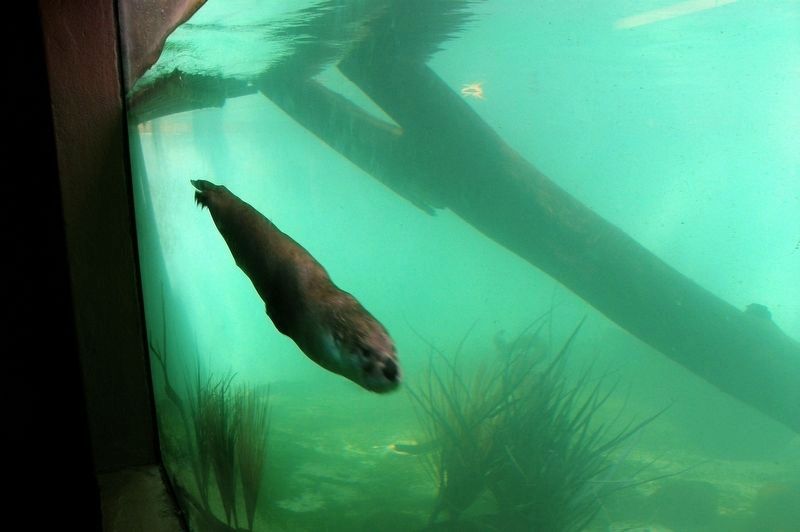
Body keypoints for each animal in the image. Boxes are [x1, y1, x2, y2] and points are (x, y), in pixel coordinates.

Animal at [191, 179, 400, 393]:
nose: (391, 370)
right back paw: (201, 196)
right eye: (366, 351)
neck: (315, 309)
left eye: (393, 349)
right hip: (221, 206)